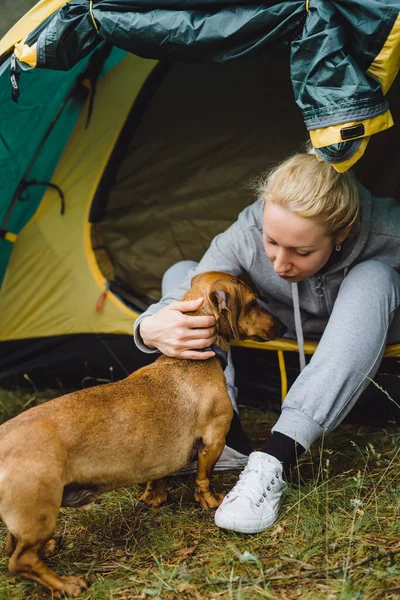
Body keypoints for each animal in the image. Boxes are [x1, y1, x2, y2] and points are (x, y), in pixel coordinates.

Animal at [0, 272, 282, 596]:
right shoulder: (213, 440)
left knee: (12, 545)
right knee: (19, 560)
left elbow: (159, 476)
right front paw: (210, 501)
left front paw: (154, 497)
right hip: (41, 514)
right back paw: (66, 584)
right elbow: (203, 478)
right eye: (253, 302)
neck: (190, 359)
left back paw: (48, 551)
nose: (283, 327)